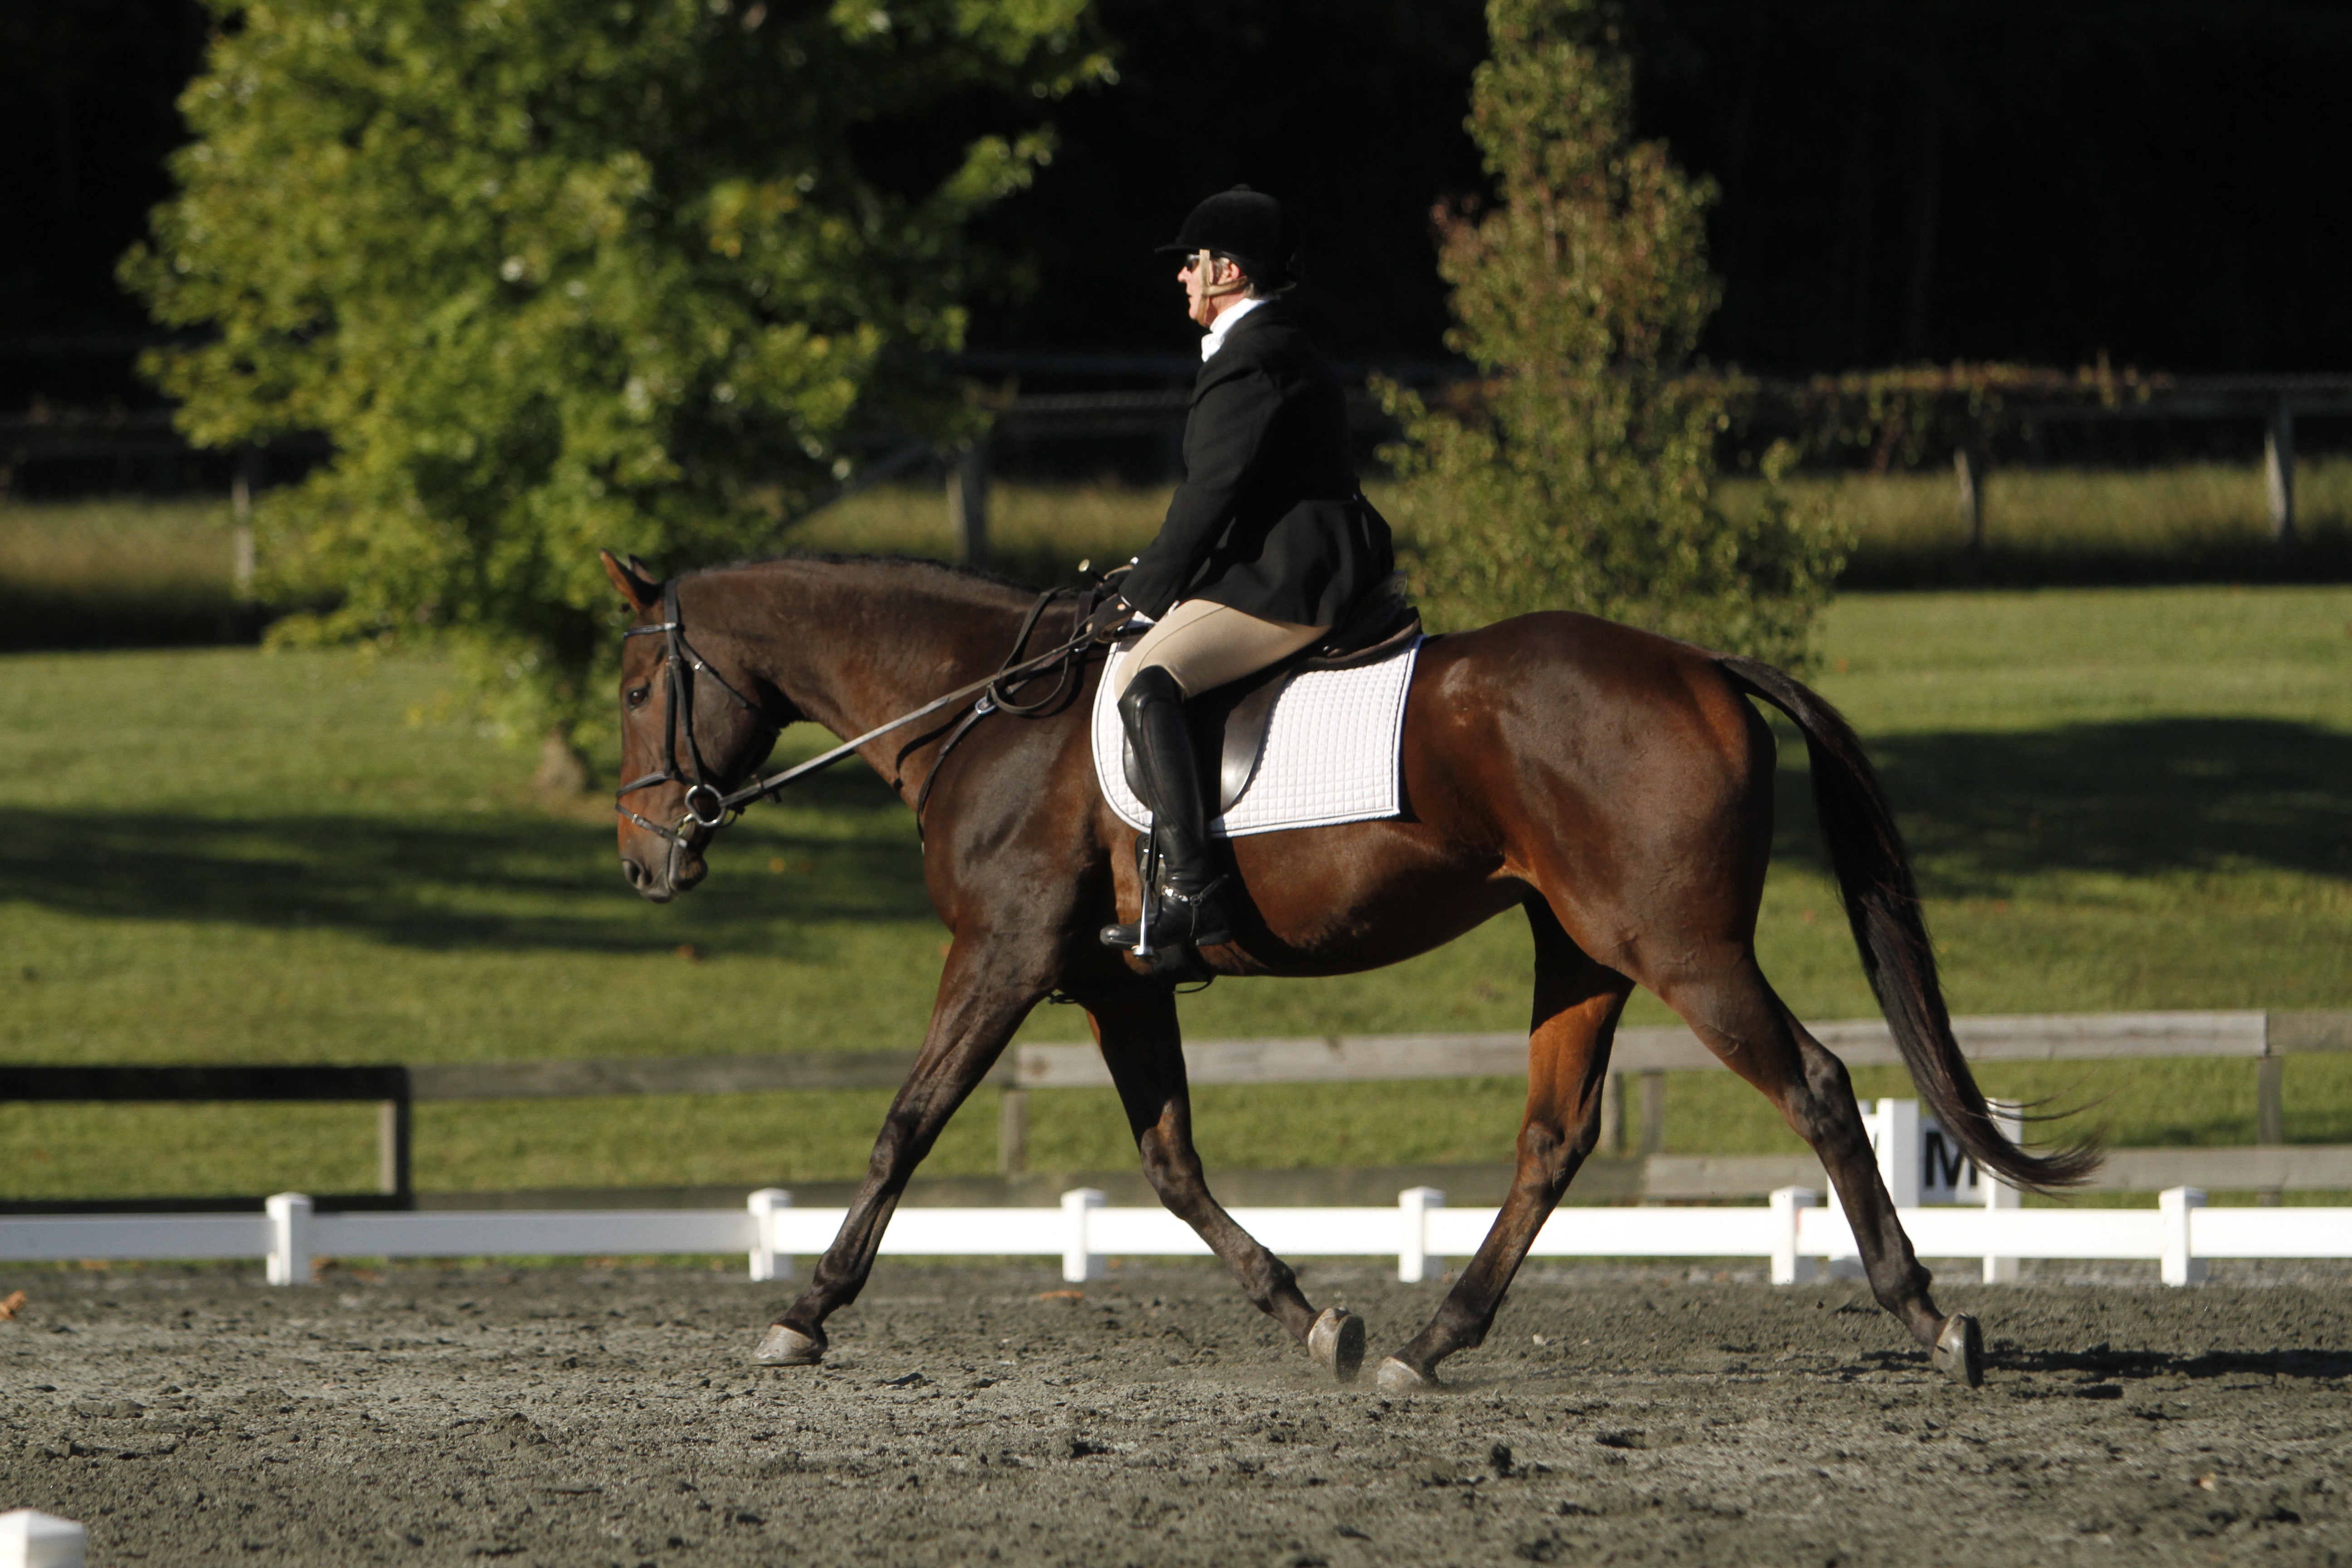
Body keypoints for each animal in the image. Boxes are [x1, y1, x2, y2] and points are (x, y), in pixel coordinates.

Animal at [597, 545, 2088, 1392]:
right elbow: (1170, 1164)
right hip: (1583, 948)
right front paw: (1315, 1320)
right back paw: (1430, 1347)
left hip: (1683, 948)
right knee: (1554, 1137)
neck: (981, 710)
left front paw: (803, 1313)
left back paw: (1932, 1323)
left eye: (631, 689)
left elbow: (902, 1128)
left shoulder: (1002, 955)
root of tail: (1695, 663)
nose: (643, 862)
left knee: (1822, 1087)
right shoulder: (1121, 982)